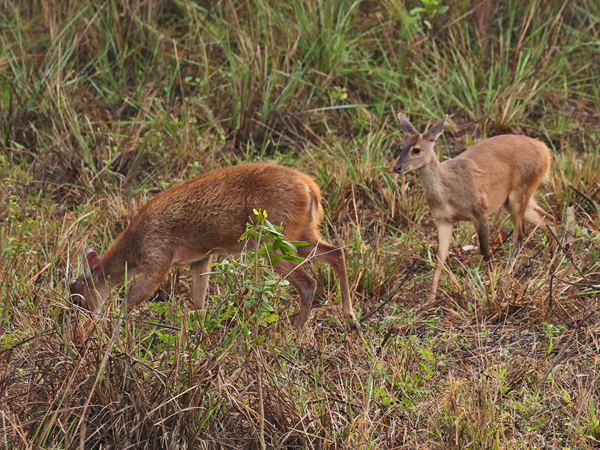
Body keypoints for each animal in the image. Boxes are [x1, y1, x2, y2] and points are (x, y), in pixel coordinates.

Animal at [70, 163, 360, 332]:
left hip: (275, 239)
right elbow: (199, 302)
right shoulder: (200, 258)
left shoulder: (159, 260)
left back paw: (296, 335)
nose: (81, 324)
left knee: (309, 283)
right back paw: (351, 318)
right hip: (301, 233)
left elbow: (128, 302)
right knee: (337, 252)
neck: (135, 247)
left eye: (79, 297)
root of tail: (311, 188)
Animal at [394, 112, 556, 302]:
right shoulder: (443, 220)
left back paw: (507, 278)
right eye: (401, 147)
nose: (397, 167)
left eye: (417, 149)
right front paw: (429, 300)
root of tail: (545, 151)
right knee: (549, 219)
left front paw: (491, 290)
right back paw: (552, 268)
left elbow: (485, 251)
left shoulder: (480, 210)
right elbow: (440, 258)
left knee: (521, 233)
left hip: (520, 191)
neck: (448, 191)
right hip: (518, 198)